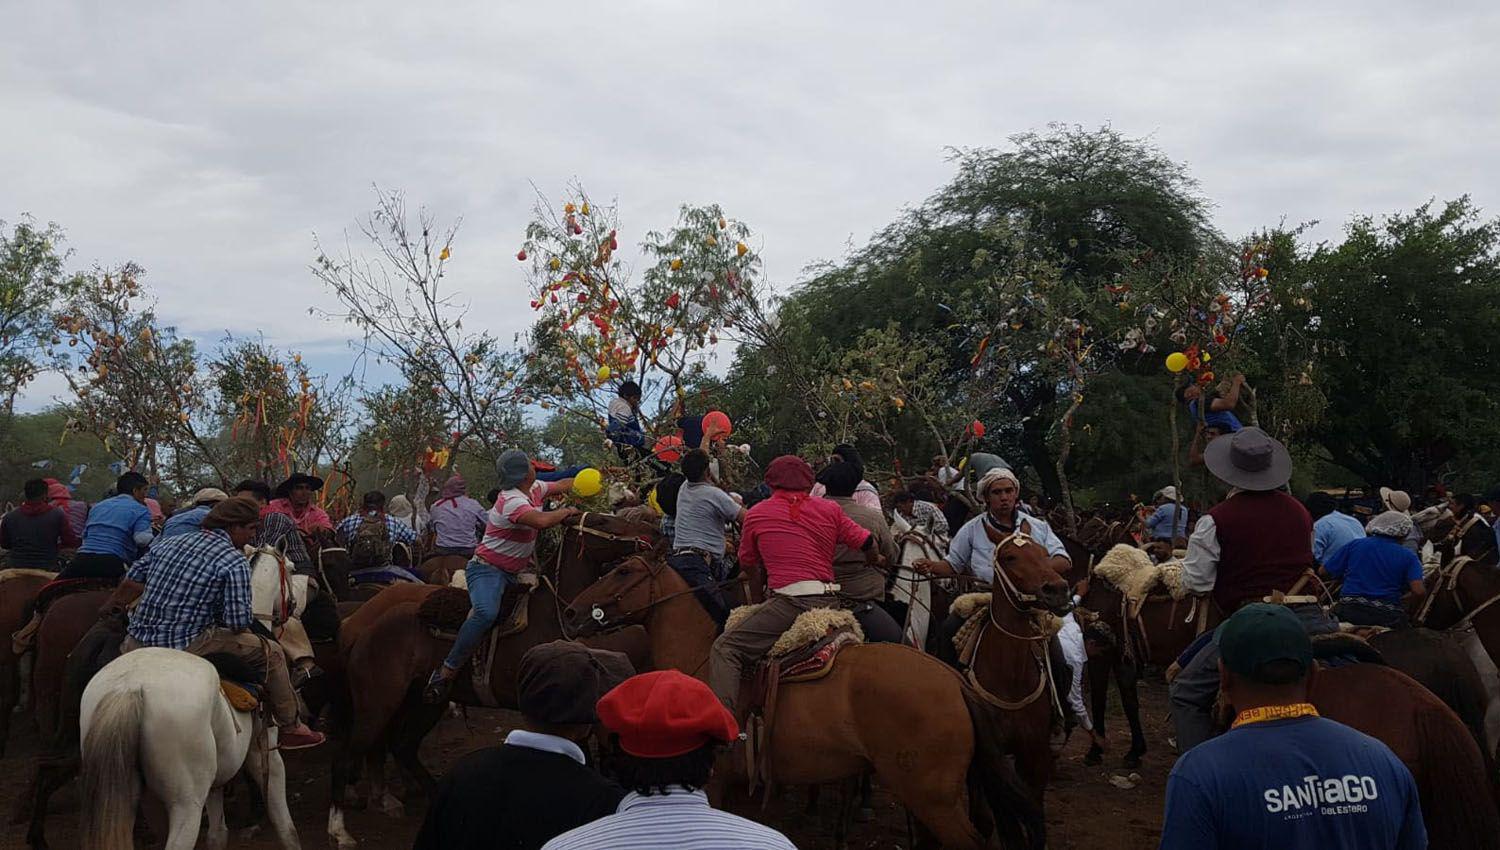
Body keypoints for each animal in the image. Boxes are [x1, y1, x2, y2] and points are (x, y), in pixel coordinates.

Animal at [77, 545, 300, 850]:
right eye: (290, 568)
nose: (295, 605)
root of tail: (130, 689)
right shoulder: (264, 754)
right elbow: (285, 825)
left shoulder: (216, 781)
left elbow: (218, 834)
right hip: (186, 801)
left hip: (127, 796)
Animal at [328, 512, 663, 850]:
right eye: (602, 522)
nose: (653, 533)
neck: (553, 615)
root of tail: (362, 629)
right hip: (376, 704)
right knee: (346, 756)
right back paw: (340, 830)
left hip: (423, 702)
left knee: (402, 746)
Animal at [561, 557, 1044, 850]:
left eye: (623, 572)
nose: (571, 611)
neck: (698, 659)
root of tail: (952, 680)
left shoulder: (713, 787)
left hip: (933, 799)